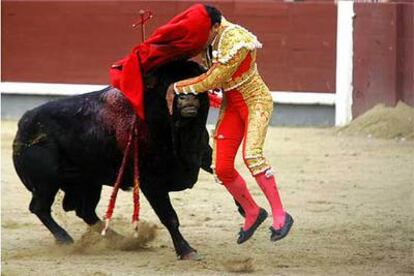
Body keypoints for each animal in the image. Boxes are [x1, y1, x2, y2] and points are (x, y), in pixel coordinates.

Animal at [11, 59, 215, 258]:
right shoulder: (151, 182)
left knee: (85, 212)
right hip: (46, 182)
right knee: (40, 207)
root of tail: (25, 121)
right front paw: (186, 251)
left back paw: (119, 239)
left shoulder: (204, 155)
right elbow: (169, 217)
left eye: (196, 76)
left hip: (89, 182)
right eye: (166, 83)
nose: (187, 98)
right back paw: (65, 238)